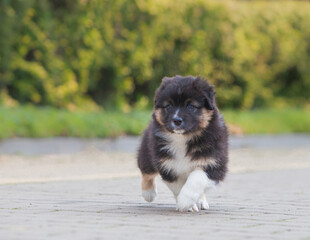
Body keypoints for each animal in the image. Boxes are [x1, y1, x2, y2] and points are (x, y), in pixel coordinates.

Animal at [137, 75, 229, 212]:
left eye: (191, 106)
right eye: (169, 106)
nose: (176, 120)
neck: (182, 138)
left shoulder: (213, 163)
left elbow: (196, 179)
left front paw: (185, 201)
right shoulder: (167, 165)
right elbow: (178, 186)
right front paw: (187, 205)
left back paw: (201, 201)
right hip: (147, 153)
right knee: (146, 171)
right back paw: (149, 193)